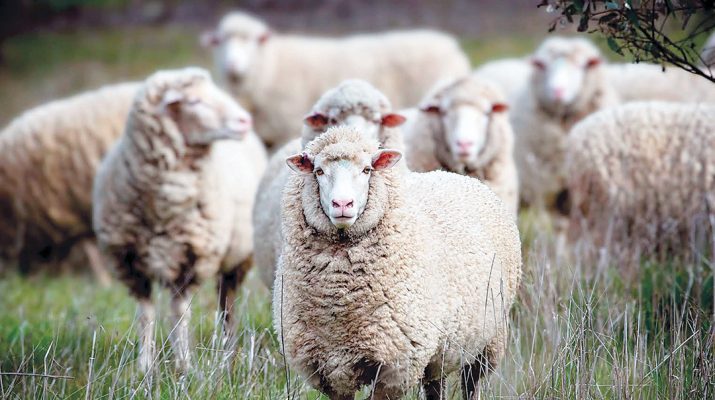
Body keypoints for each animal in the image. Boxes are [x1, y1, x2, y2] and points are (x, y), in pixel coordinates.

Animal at [92, 67, 267, 372]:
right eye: (194, 101)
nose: (245, 120)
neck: (163, 206)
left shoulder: (191, 259)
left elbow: (179, 315)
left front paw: (184, 366)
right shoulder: (130, 264)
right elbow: (146, 315)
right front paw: (145, 366)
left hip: (237, 259)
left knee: (227, 305)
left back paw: (228, 351)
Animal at [201, 11, 470, 148]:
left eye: (253, 41)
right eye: (220, 42)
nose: (232, 64)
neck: (271, 66)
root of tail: (451, 44)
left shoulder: (283, 129)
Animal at [273, 127, 521, 399]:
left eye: (367, 170)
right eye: (318, 171)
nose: (342, 204)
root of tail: (456, 176)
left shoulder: (395, 367)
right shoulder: (330, 370)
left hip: (488, 341)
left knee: (472, 384)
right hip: (439, 350)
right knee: (436, 384)